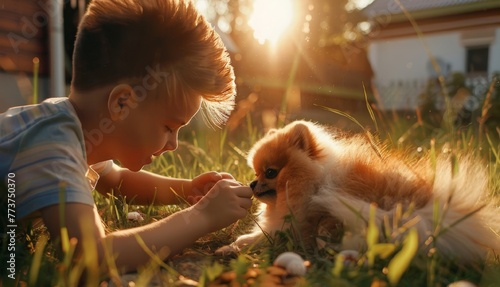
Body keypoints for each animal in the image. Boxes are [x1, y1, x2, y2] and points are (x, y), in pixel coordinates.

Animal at [224, 120, 500, 264]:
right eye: (256, 172)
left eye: (270, 172)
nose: (252, 183)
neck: (314, 183)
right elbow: (262, 235)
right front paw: (235, 245)